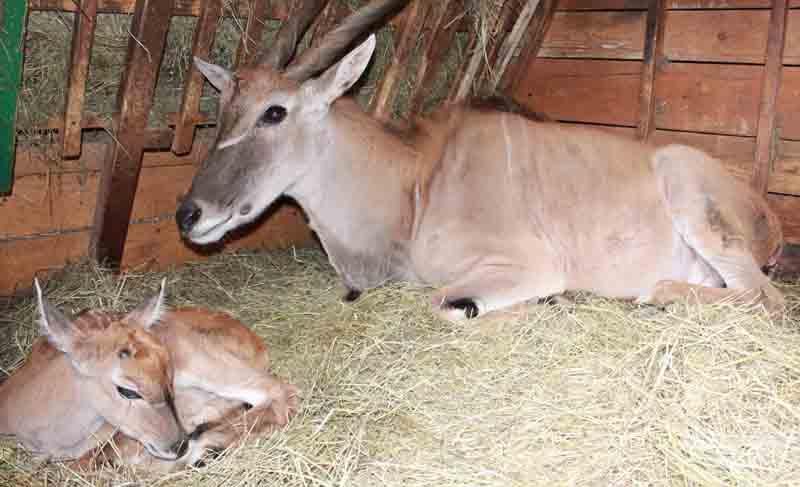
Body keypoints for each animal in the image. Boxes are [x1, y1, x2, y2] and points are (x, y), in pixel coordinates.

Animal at [0, 280, 298, 470]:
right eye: (127, 390)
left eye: (170, 376)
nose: (177, 446)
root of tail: (256, 344)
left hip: (210, 366)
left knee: (280, 392)